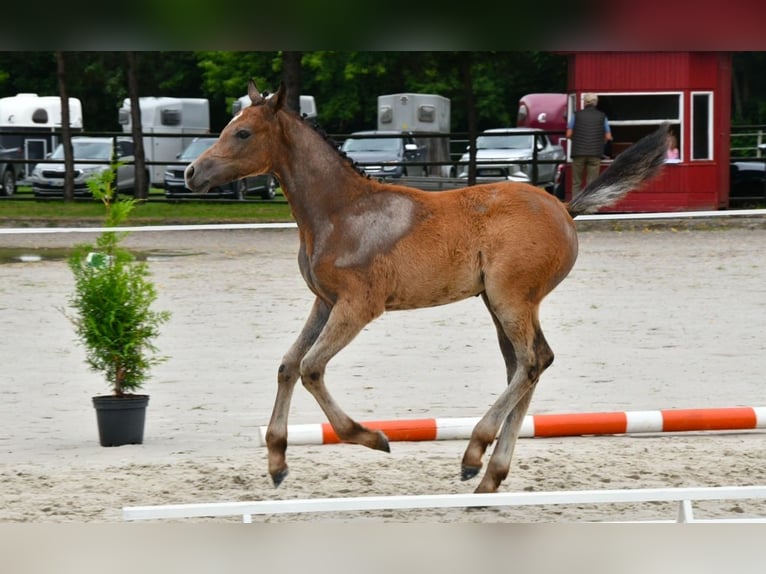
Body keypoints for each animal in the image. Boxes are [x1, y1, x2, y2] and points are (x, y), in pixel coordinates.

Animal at [183, 80, 668, 496]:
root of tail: (565, 208)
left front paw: (372, 437)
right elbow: (287, 365)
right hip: (500, 303)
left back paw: (474, 454)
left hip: (511, 299)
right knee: (529, 364)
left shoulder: (358, 306)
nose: (190, 173)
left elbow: (311, 368)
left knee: (531, 363)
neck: (340, 211)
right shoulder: (324, 301)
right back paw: (490, 476)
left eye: (243, 132)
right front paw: (277, 462)